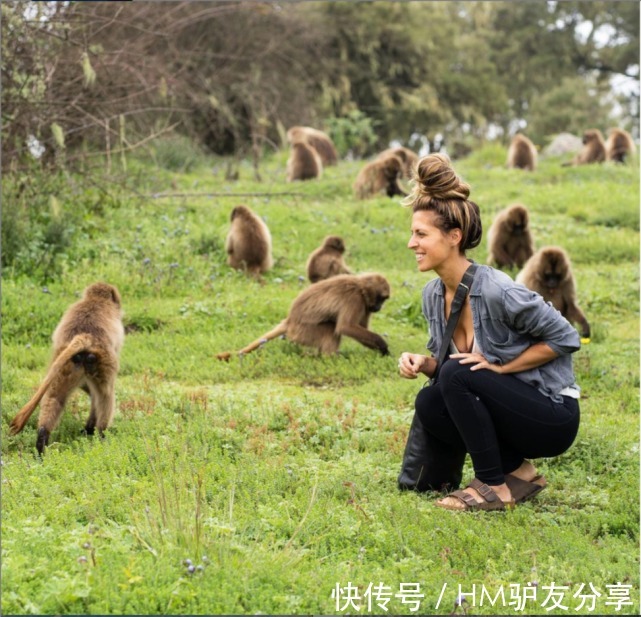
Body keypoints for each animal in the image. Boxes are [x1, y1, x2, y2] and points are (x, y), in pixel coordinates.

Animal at [9, 280, 124, 452]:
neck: (96, 300)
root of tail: (84, 337)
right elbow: (98, 395)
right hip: (101, 362)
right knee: (105, 395)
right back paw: (102, 436)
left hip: (66, 365)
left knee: (55, 397)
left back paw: (41, 442)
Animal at [216, 274, 390, 358]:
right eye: (382, 298)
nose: (379, 307)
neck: (361, 288)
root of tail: (289, 321)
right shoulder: (354, 300)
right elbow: (345, 327)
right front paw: (382, 345)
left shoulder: (365, 305)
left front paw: (382, 352)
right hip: (302, 333)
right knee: (331, 328)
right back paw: (329, 358)